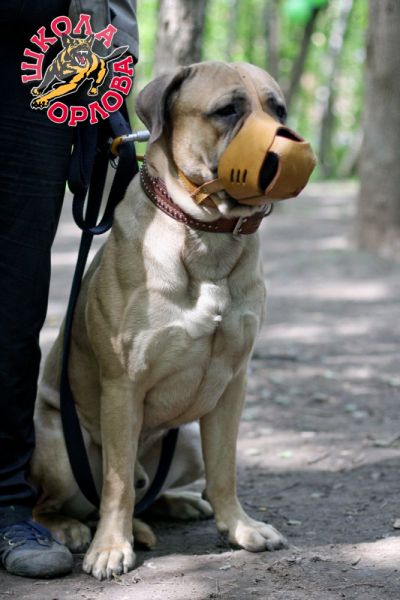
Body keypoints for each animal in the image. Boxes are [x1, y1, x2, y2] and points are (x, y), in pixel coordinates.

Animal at [31, 61, 315, 580]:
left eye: (278, 109)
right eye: (227, 110)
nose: (290, 150)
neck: (207, 236)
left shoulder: (233, 384)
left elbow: (224, 469)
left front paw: (240, 527)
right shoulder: (123, 384)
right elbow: (117, 483)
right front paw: (110, 547)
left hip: (182, 447)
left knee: (153, 489)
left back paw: (177, 503)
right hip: (59, 447)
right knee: (65, 499)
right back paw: (73, 529)